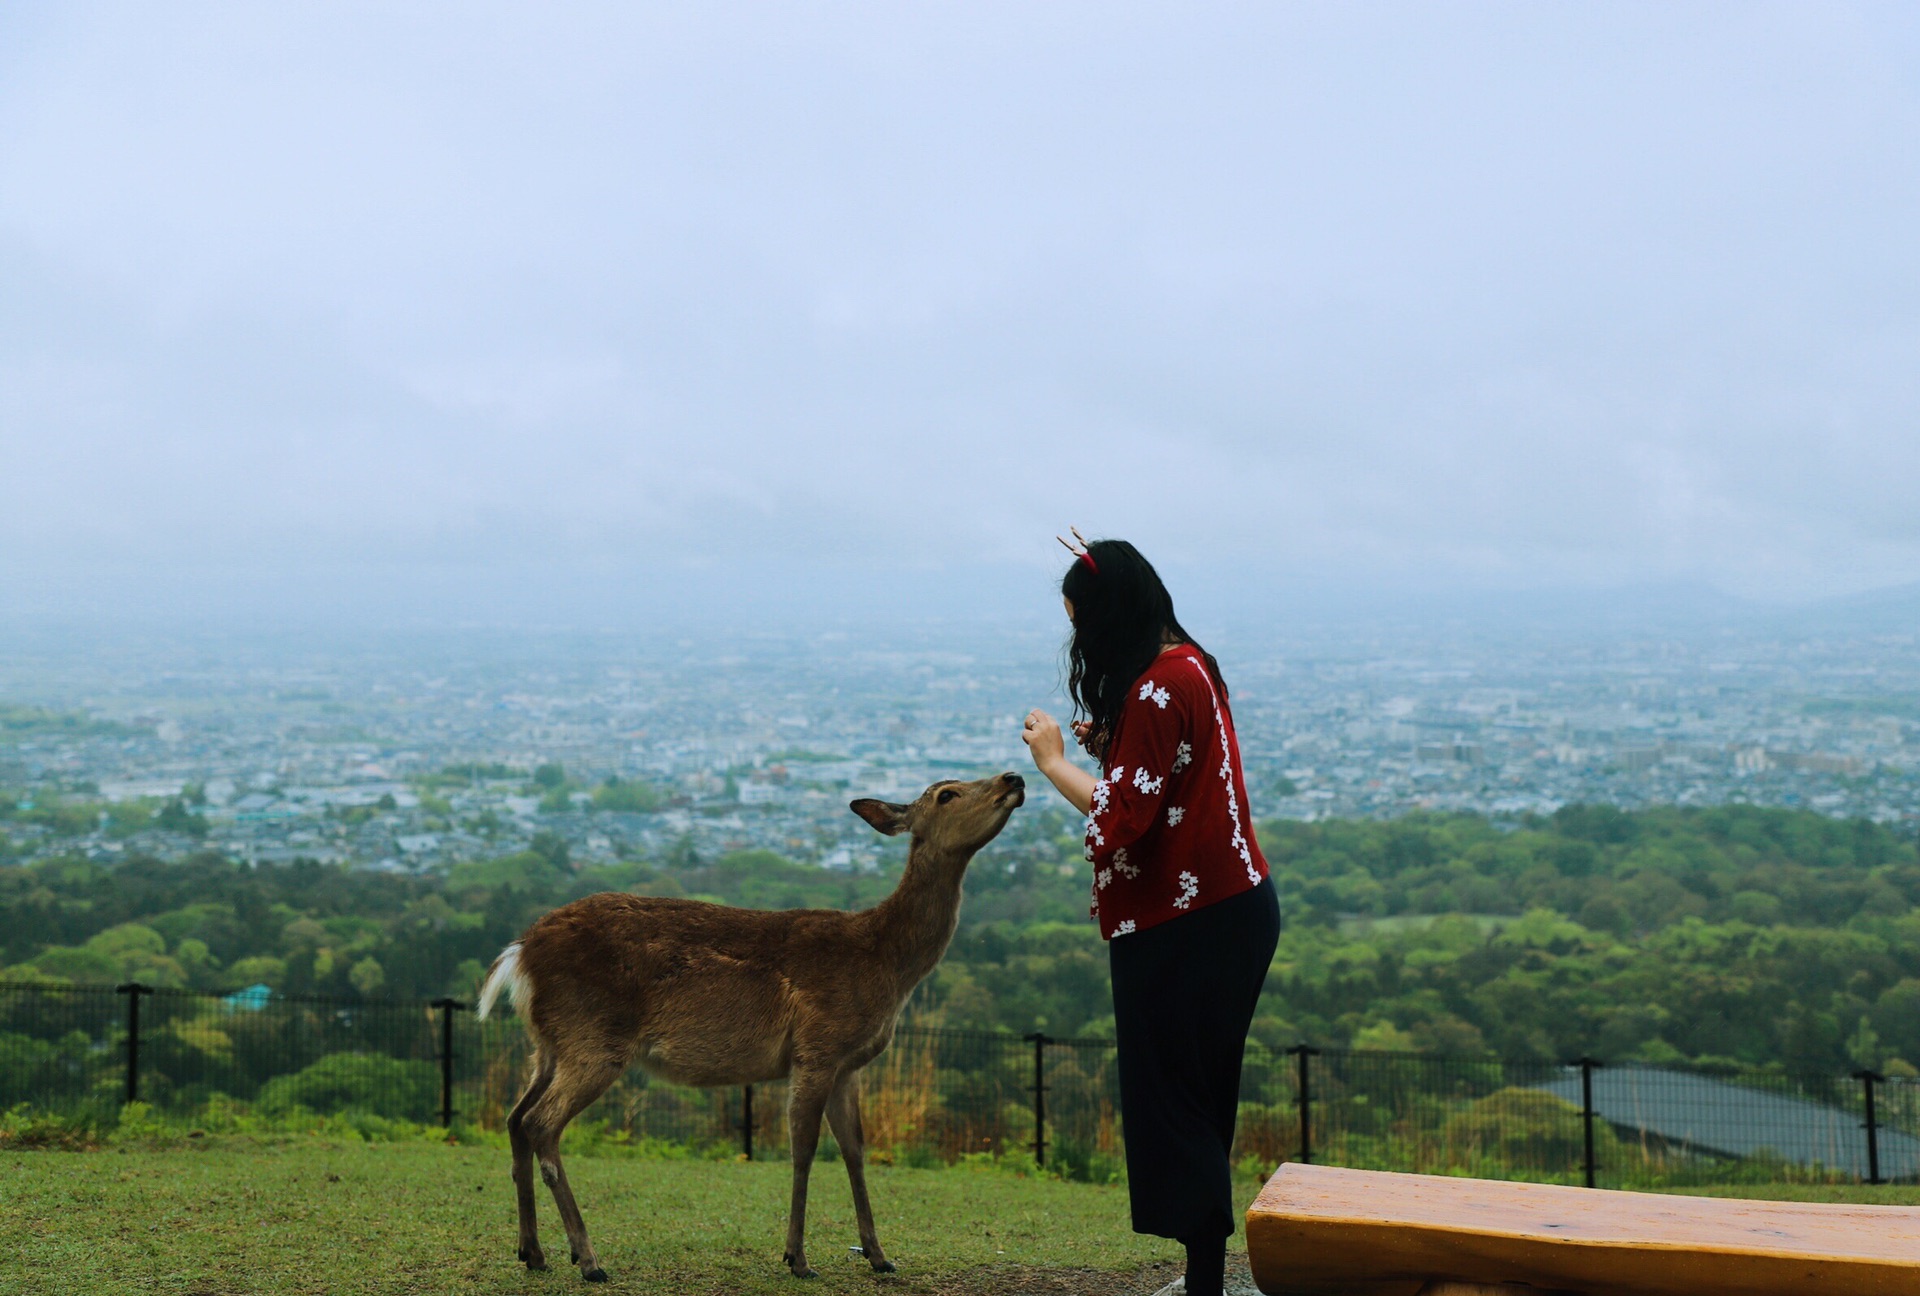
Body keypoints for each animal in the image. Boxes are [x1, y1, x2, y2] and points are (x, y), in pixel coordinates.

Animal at [474, 771, 1029, 1290]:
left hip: (548, 1045)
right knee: (541, 1123)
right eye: (947, 794)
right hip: (593, 1038)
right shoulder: (817, 1045)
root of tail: (519, 955)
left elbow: (855, 1149)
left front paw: (879, 1256)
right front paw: (798, 1259)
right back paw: (588, 1260)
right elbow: (803, 1147)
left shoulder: (849, 1065)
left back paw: (534, 1252)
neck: (887, 964)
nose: (1013, 777)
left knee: (515, 1118)